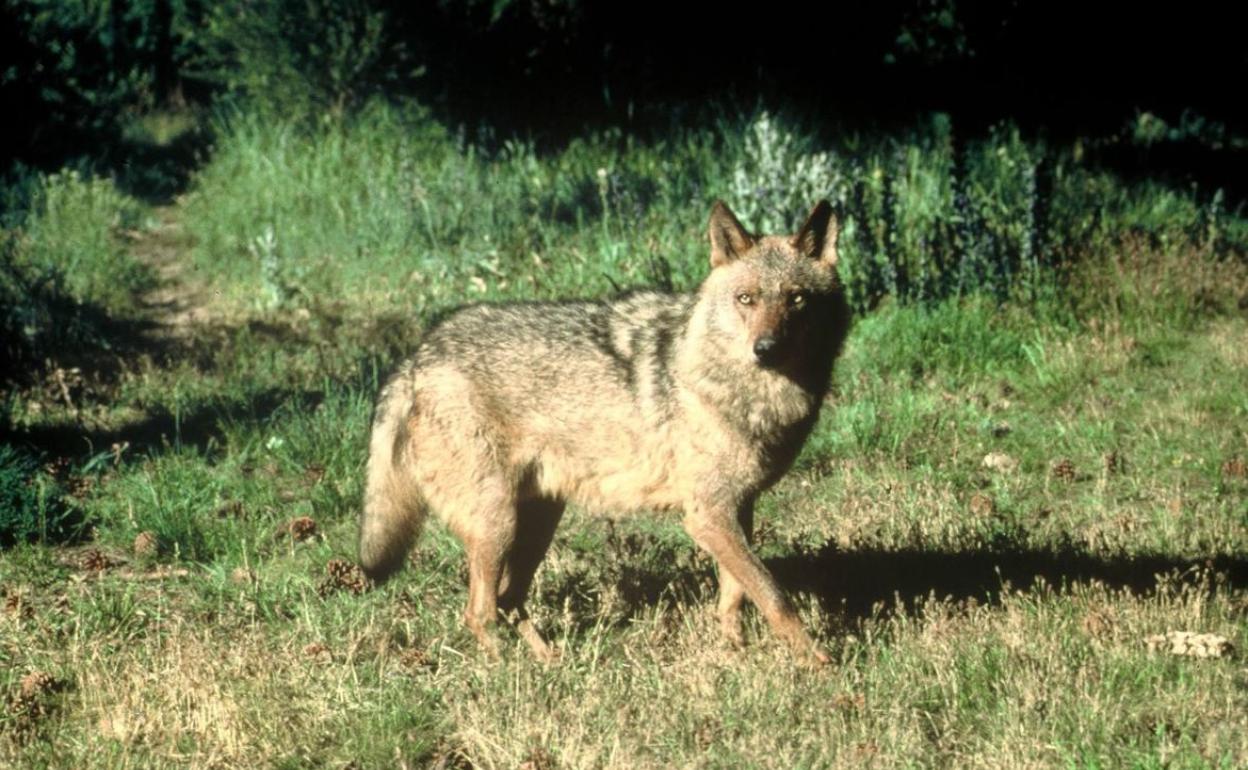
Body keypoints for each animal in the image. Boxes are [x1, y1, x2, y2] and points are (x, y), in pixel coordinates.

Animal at [359, 200, 851, 663]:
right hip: (497, 525)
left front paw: (735, 652)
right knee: (479, 612)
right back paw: (507, 672)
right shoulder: (707, 515)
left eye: (797, 299)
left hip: (536, 524)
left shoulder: (737, 508)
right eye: (746, 299)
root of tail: (416, 357)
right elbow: (773, 595)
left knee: (508, 601)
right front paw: (816, 662)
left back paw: (549, 663)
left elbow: (736, 596)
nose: (765, 349)